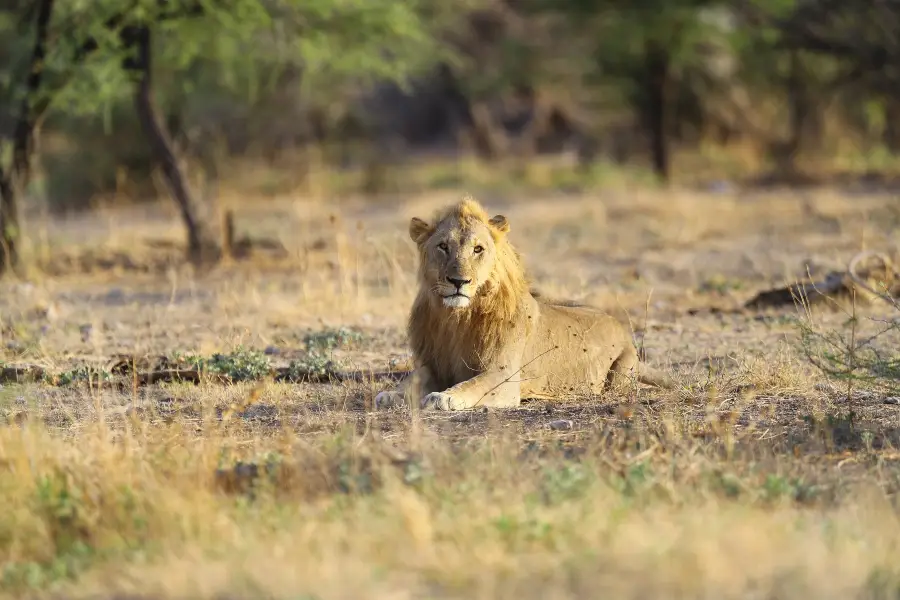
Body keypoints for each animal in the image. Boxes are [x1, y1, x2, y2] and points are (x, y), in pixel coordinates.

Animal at [372, 195, 676, 410]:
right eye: (443, 247)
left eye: (478, 249)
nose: (459, 281)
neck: (456, 319)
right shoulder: (431, 365)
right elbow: (411, 381)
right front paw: (390, 395)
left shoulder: (504, 375)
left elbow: (474, 384)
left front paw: (445, 397)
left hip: (620, 374)